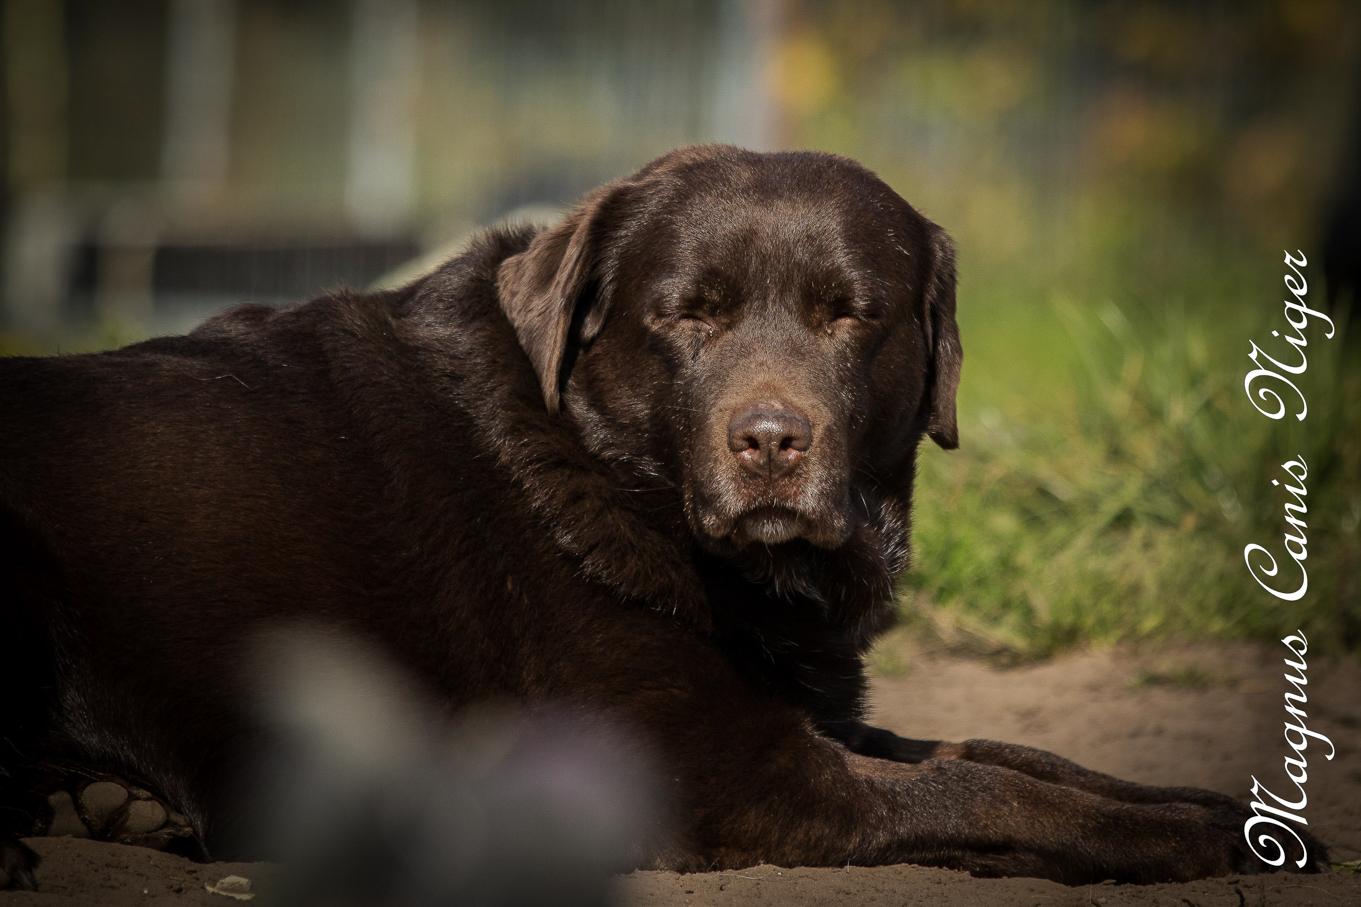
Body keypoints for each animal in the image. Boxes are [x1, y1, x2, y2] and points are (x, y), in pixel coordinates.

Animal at [0, 145, 1322, 887]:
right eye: (690, 313)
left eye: (850, 314)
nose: (771, 442)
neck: (602, 474)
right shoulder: (727, 773)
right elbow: (990, 794)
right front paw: (1180, 843)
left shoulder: (804, 712)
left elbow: (1001, 750)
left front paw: (1231, 811)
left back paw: (103, 803)